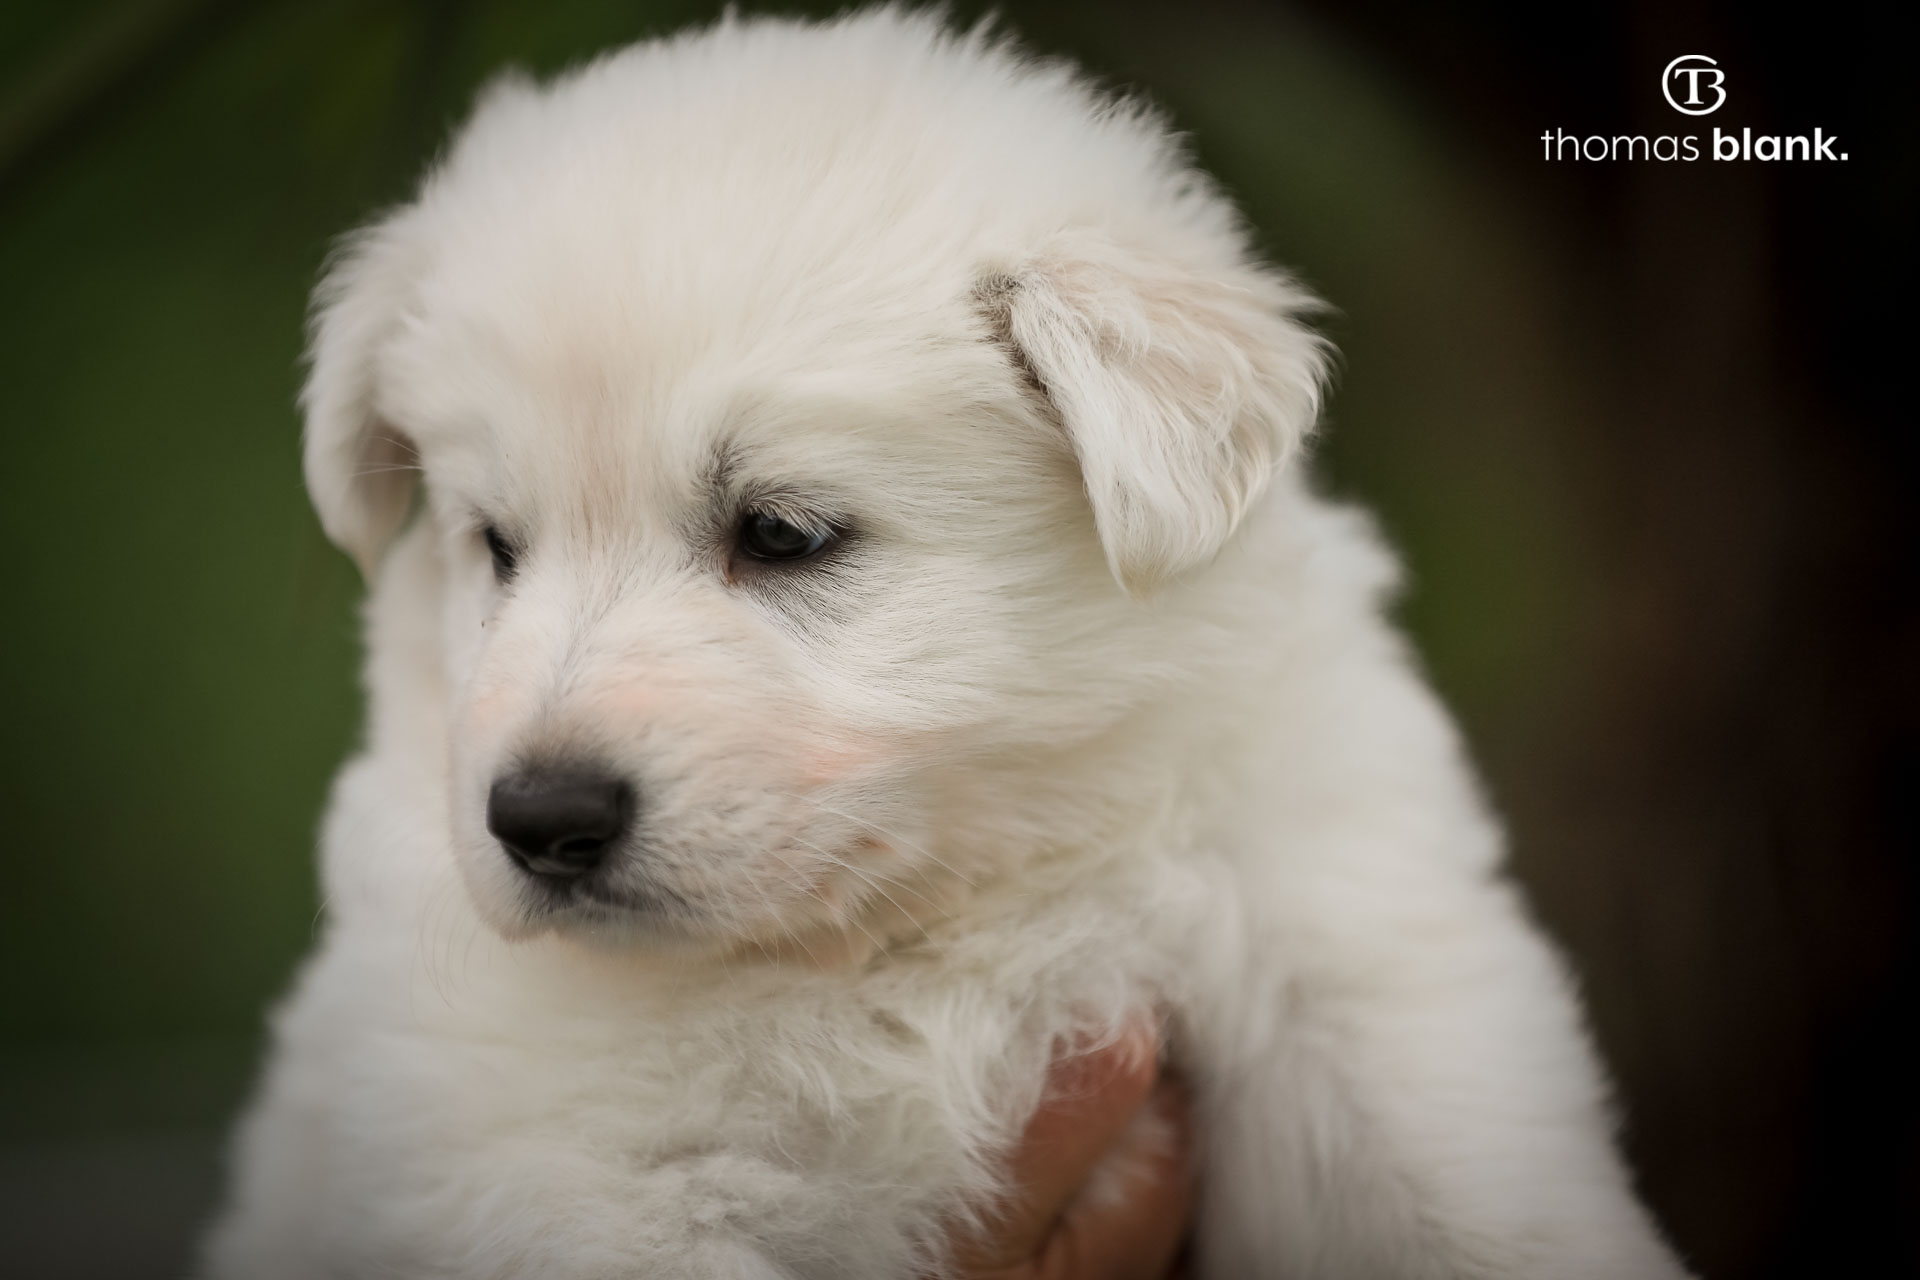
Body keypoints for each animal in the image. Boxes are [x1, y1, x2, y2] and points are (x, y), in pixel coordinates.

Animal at [203, 9, 1691, 1278]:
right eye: (496, 546)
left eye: (784, 532)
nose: (540, 819)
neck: (923, 916)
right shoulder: (559, 1159)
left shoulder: (1335, 944)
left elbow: (1463, 1191)